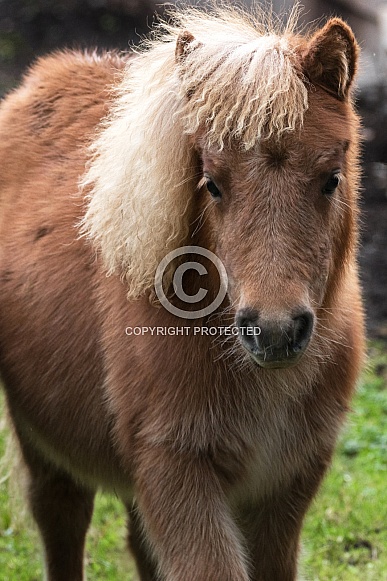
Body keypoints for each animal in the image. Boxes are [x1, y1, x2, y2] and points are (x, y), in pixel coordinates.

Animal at [0, 5, 366, 580]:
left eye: (331, 177)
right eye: (211, 182)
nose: (275, 331)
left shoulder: (285, 488)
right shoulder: (175, 470)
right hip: (44, 442)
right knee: (61, 516)